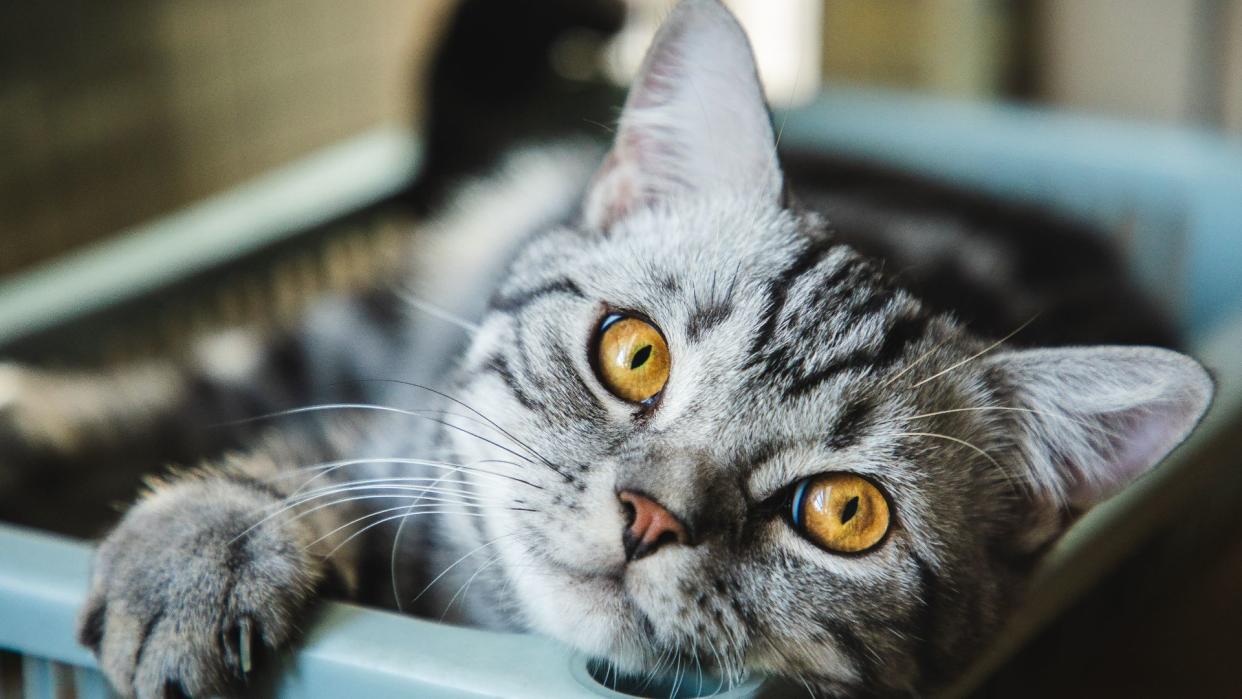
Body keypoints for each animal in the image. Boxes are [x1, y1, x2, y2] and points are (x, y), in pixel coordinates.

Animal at [0, 1, 1212, 699]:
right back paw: (34, 418)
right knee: (194, 378)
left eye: (844, 512)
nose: (650, 515)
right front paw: (207, 545)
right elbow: (301, 460)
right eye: (633, 356)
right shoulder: (404, 436)